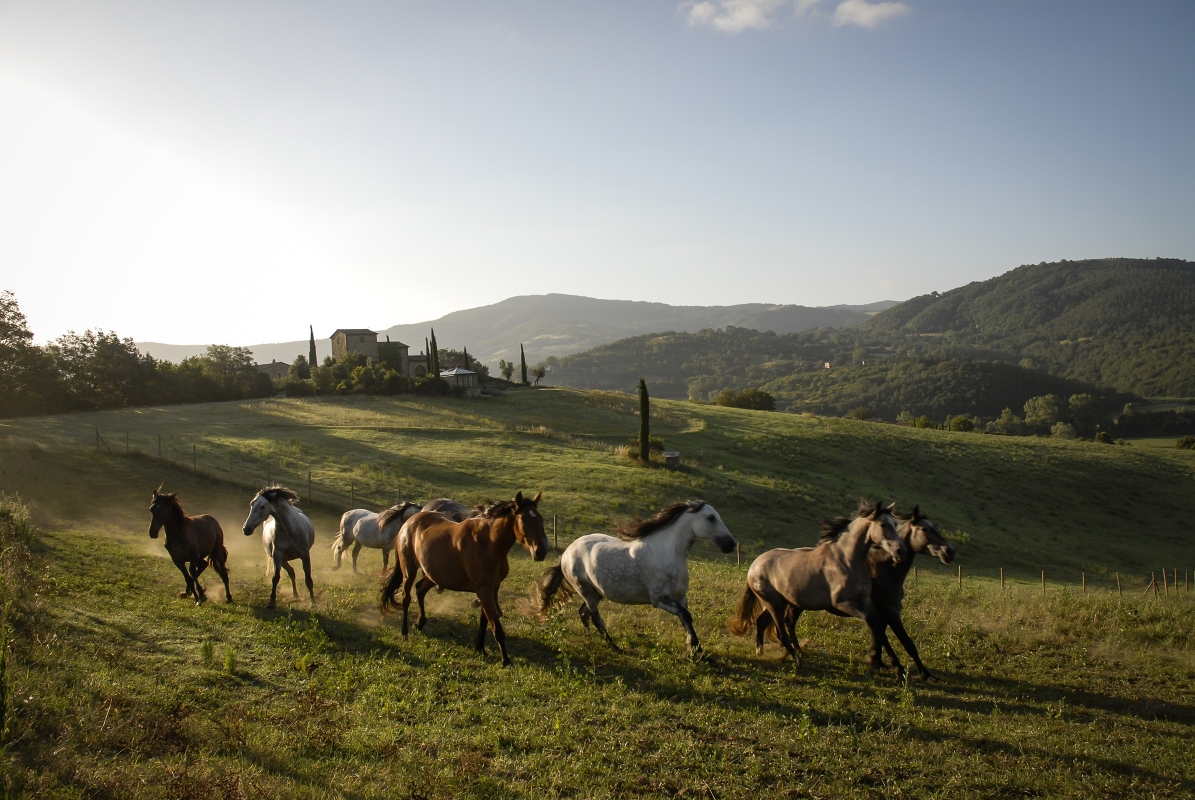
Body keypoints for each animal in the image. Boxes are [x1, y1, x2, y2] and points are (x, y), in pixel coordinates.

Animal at [380, 492, 549, 667]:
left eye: (540, 519)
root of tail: (410, 521)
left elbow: (484, 621)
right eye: (524, 520)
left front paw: (480, 648)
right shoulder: (484, 590)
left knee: (420, 589)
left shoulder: (491, 589)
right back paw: (404, 632)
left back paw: (420, 623)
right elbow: (496, 627)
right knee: (406, 597)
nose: (541, 551)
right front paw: (505, 660)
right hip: (409, 570)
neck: (488, 543)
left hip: (434, 575)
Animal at [532, 500, 737, 657]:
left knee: (583, 613)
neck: (666, 552)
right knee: (596, 618)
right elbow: (686, 616)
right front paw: (697, 652)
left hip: (597, 592)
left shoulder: (680, 597)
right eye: (711, 517)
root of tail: (566, 554)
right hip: (586, 590)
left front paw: (696, 651)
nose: (731, 544)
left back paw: (590, 637)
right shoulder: (660, 599)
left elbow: (686, 620)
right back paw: (615, 647)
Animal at [729, 500, 907, 677]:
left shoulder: (866, 601)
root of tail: (755, 564)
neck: (846, 560)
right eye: (883, 524)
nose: (900, 551)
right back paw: (800, 661)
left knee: (761, 622)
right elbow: (871, 622)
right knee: (781, 633)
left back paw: (762, 651)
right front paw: (886, 663)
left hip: (780, 603)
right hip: (774, 604)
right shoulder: (842, 603)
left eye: (895, 524)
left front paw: (897, 666)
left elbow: (879, 628)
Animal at [760, 505, 956, 680]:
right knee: (783, 623)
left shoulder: (881, 611)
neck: (884, 570)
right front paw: (923, 674)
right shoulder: (889, 611)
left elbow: (880, 634)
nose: (950, 551)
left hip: (793, 603)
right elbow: (904, 641)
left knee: (779, 621)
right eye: (924, 529)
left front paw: (877, 661)